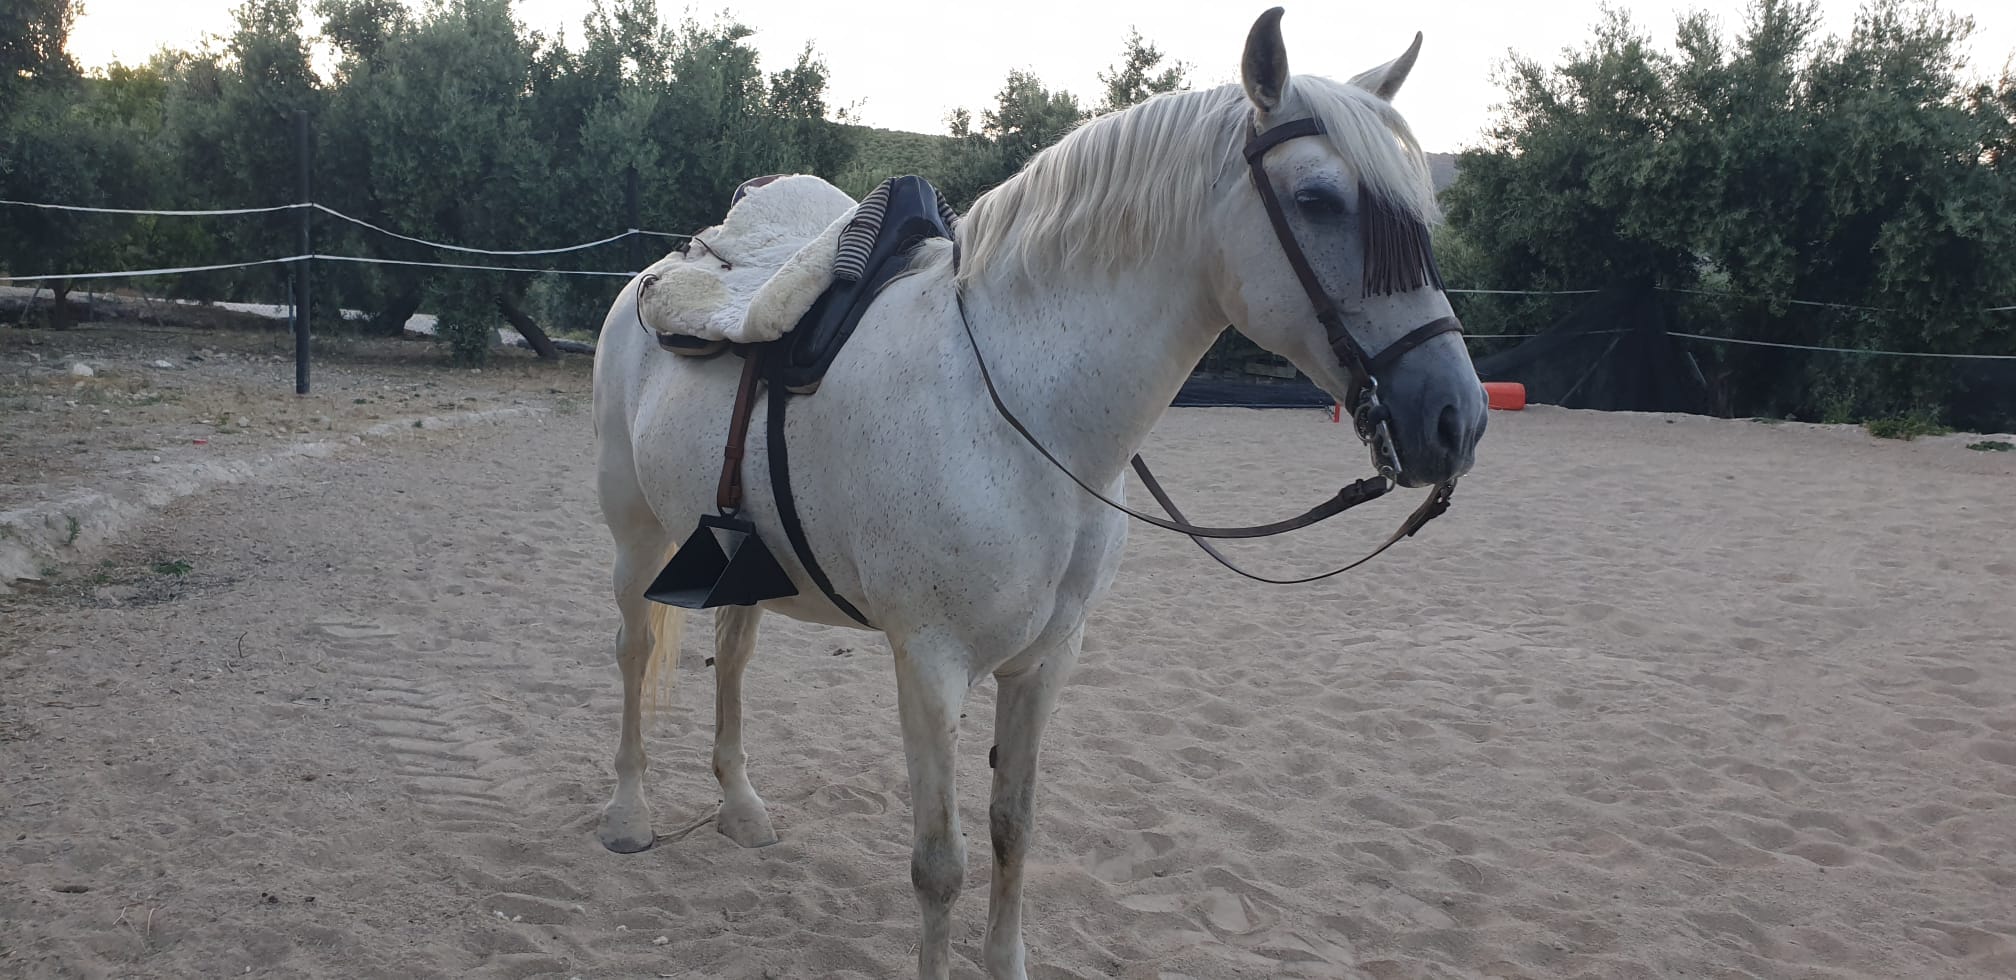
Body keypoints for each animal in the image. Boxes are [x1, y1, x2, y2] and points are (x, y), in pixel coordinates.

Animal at [587, 8, 1487, 978]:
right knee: (633, 651)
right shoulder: (930, 664)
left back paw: (740, 807)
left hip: (743, 562)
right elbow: (939, 865)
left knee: (734, 658)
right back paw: (630, 816)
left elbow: (1014, 828)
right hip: (636, 539)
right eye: (1319, 200)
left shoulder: (1048, 659)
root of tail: (661, 270)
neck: (1018, 407)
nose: (1457, 418)